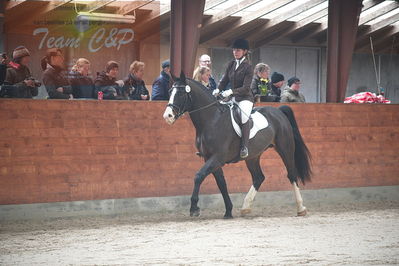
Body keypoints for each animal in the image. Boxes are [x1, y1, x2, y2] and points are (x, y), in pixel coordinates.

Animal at [162, 72, 312, 218]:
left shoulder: (217, 157)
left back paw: (301, 208)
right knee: (258, 177)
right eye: (169, 92)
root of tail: (279, 111)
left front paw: (194, 208)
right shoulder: (209, 158)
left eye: (181, 93)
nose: (168, 116)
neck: (212, 120)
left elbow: (199, 176)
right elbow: (221, 183)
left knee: (291, 175)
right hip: (253, 156)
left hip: (285, 149)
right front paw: (228, 211)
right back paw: (245, 208)